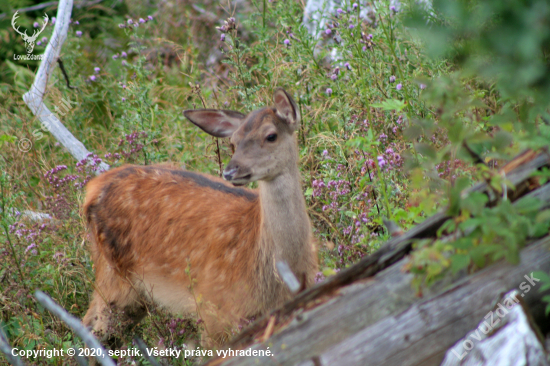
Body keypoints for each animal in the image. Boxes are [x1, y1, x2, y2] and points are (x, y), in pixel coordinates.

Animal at [82, 88, 320, 346]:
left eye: (271, 136)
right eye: (233, 142)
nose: (230, 171)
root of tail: (92, 189)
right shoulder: (212, 310)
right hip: (116, 278)